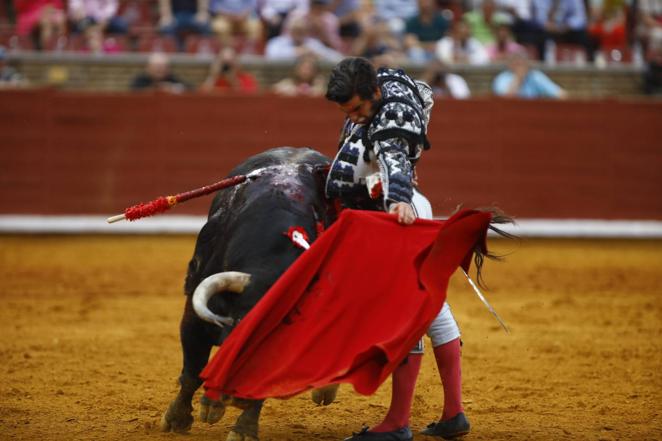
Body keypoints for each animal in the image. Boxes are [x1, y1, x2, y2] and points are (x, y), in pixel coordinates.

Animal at [160, 147, 338, 436]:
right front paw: (177, 419)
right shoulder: (194, 317)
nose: (237, 395)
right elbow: (192, 371)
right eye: (242, 326)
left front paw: (244, 429)